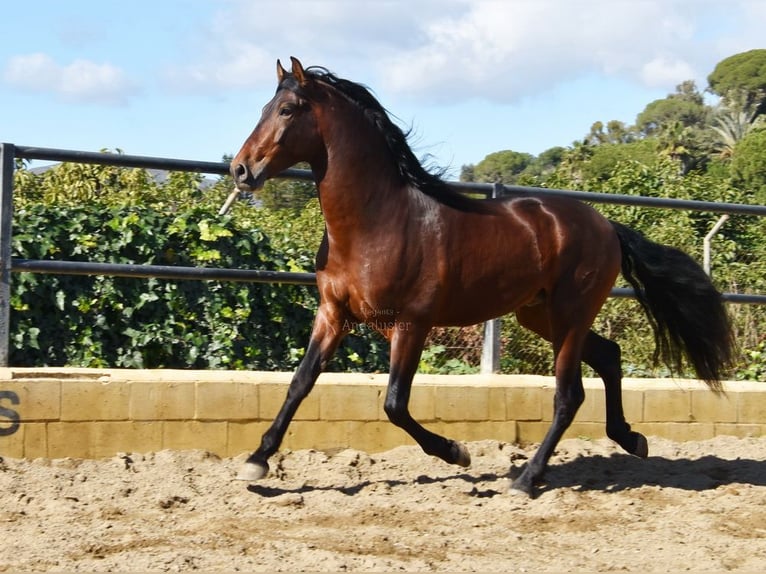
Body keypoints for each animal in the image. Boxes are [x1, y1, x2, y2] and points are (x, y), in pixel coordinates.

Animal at [230, 59, 736, 500]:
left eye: (288, 109)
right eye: (263, 107)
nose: (241, 169)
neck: (377, 222)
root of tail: (606, 225)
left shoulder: (411, 324)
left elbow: (395, 404)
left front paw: (457, 453)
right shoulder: (333, 315)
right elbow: (300, 383)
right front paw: (257, 461)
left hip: (570, 315)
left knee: (568, 395)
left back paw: (526, 480)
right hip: (540, 315)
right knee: (609, 357)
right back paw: (631, 439)